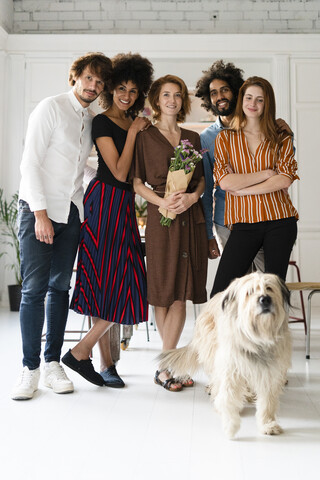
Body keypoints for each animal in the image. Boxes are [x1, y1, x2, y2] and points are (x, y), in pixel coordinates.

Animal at [158, 270, 292, 438]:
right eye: (250, 292)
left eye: (269, 288)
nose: (265, 299)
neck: (256, 337)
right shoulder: (231, 368)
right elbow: (228, 396)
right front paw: (230, 424)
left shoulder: (269, 371)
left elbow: (268, 401)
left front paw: (267, 424)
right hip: (212, 350)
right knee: (216, 379)